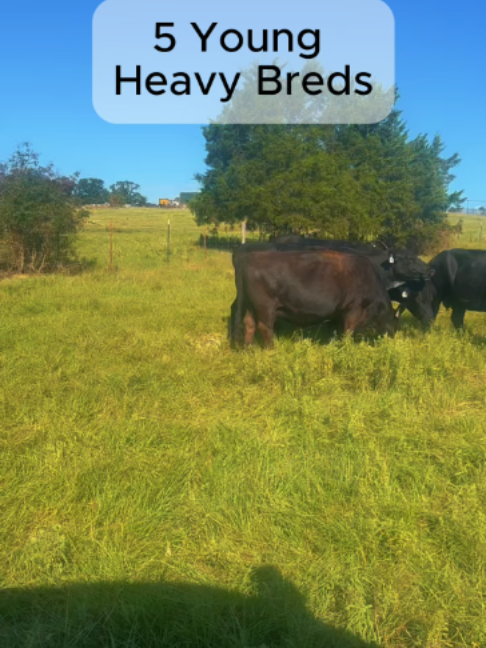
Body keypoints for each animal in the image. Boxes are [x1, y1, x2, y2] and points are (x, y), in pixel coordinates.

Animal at [232, 248, 399, 347]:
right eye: (393, 322)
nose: (392, 339)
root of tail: (248, 256)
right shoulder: (354, 309)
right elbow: (347, 332)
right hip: (265, 307)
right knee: (265, 327)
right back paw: (271, 349)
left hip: (251, 306)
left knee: (249, 324)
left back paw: (248, 348)